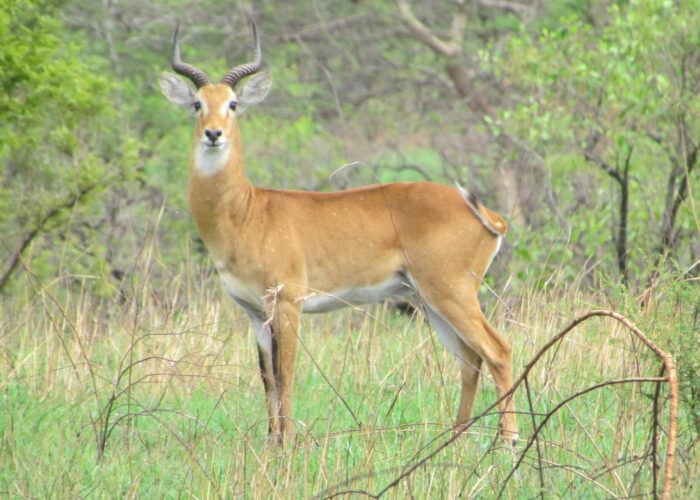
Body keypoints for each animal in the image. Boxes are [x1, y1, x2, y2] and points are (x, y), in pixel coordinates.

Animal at [160, 21, 520, 444]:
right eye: (197, 104)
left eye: (233, 103)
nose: (213, 134)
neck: (247, 212)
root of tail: (489, 216)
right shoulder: (254, 312)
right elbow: (267, 378)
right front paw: (272, 440)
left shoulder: (288, 302)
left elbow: (287, 373)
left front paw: (288, 441)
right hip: (430, 301)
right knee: (470, 358)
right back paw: (454, 437)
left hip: (452, 292)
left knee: (498, 350)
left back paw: (508, 440)